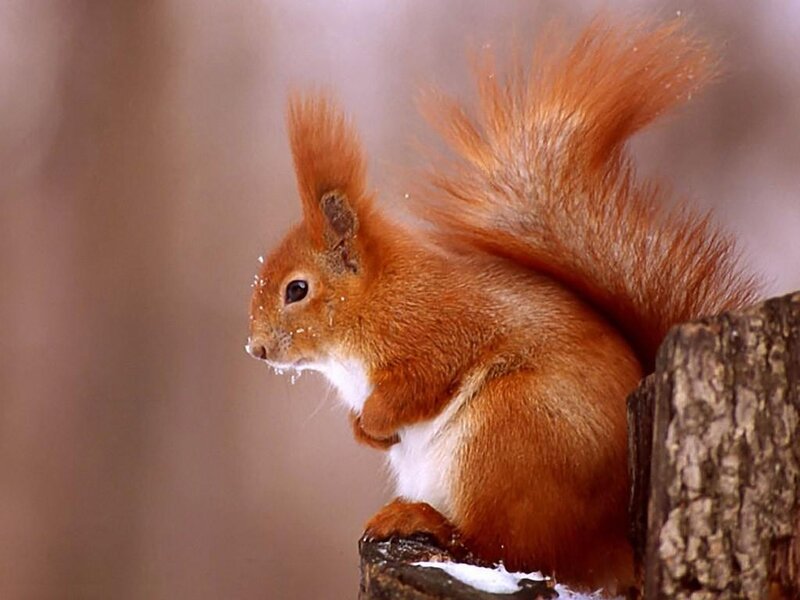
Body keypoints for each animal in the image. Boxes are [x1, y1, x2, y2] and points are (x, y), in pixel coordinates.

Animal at [246, 19, 759, 591]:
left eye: (296, 289)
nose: (256, 348)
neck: (376, 301)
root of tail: (616, 544)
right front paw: (365, 432)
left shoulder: (438, 330)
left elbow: (418, 383)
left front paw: (375, 421)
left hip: (508, 434)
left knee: (506, 546)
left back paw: (421, 519)